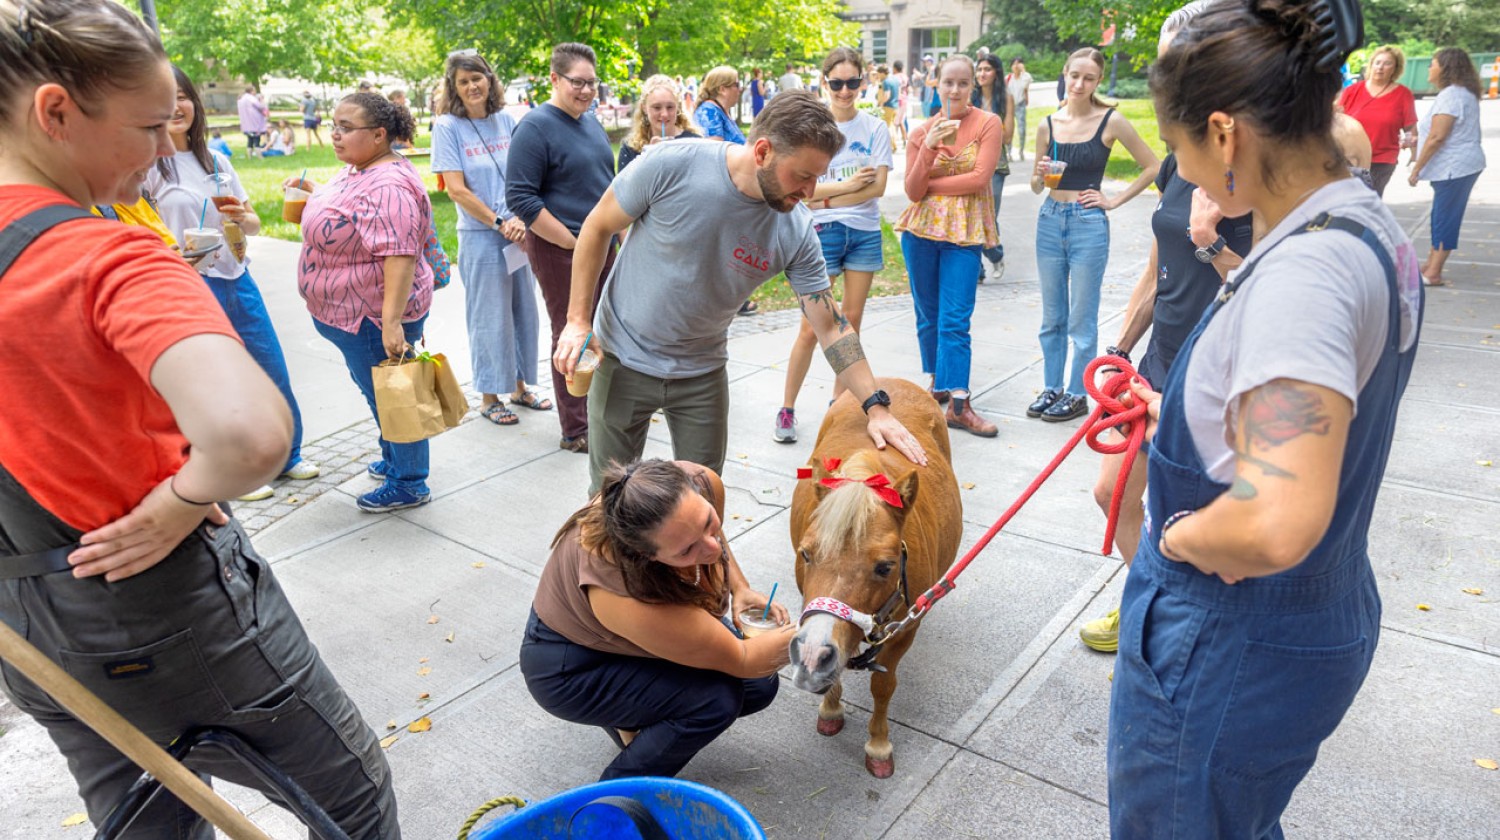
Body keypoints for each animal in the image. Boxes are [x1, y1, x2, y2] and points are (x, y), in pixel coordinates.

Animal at [786, 378, 960, 780]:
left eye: (885, 567)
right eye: (806, 554)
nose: (810, 655)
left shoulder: (904, 630)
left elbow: (883, 685)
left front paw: (878, 745)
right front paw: (831, 708)